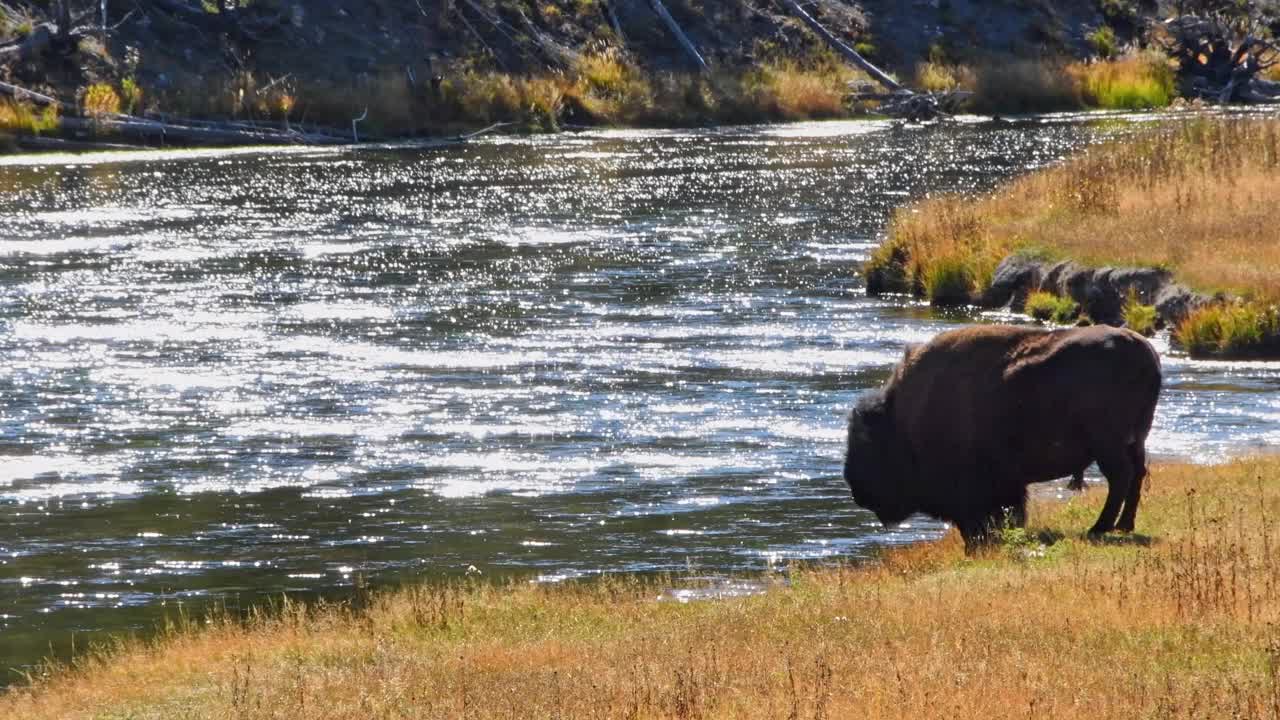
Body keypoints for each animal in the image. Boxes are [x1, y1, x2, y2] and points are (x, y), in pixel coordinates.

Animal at [844, 322, 1167, 545]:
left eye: (868, 448)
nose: (857, 491)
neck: (904, 423)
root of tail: (1145, 351)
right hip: (1135, 440)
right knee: (1136, 475)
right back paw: (1123, 525)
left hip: (1108, 444)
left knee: (1121, 477)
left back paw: (1099, 528)